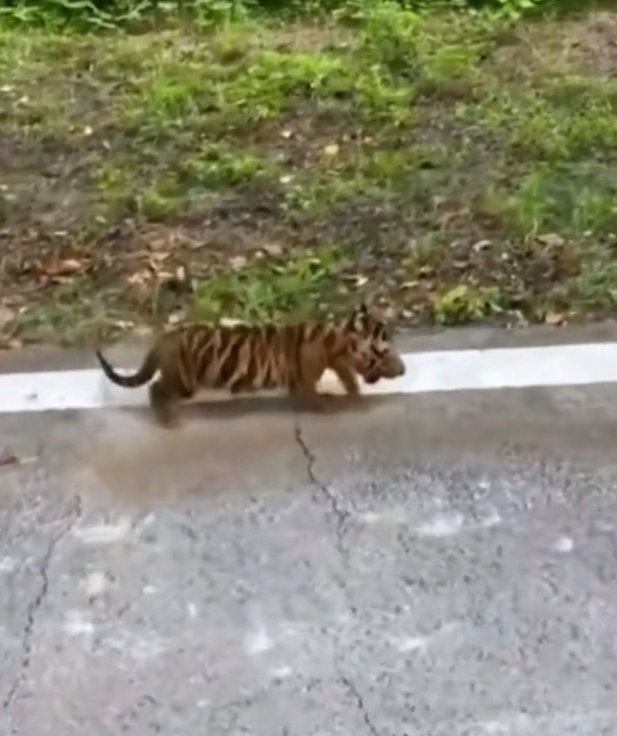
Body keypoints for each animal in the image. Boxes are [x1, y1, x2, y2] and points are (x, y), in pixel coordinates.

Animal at [94, 302, 405, 428]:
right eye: (386, 351)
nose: (404, 369)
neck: (336, 341)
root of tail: (164, 337)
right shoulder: (303, 380)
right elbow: (313, 396)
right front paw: (330, 404)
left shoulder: (338, 364)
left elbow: (348, 378)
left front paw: (354, 396)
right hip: (184, 380)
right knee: (156, 388)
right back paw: (169, 420)